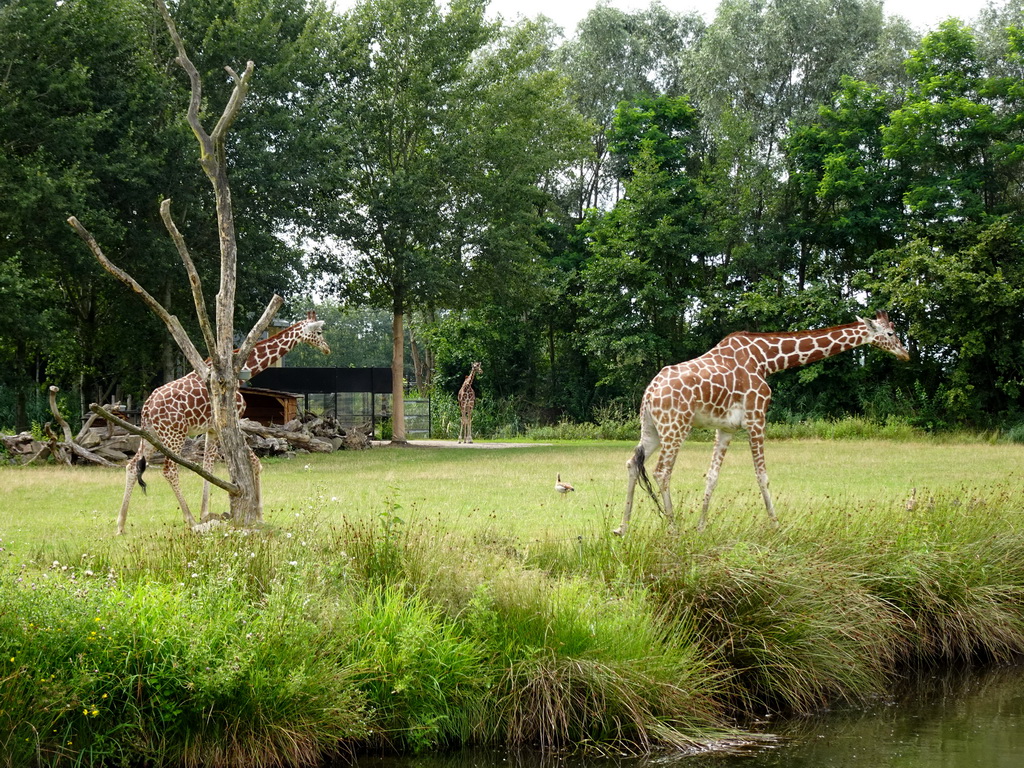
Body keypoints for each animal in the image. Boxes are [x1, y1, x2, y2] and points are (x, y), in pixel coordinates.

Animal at [117, 313, 329, 536]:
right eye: (319, 332)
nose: (326, 348)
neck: (243, 374)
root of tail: (146, 408)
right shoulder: (229, 421)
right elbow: (255, 462)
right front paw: (259, 515)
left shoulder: (212, 428)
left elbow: (207, 466)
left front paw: (205, 512)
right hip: (174, 434)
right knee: (169, 470)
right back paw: (190, 520)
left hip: (150, 435)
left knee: (132, 466)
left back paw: (121, 524)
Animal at [614, 311, 913, 536]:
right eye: (890, 334)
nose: (905, 354)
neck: (767, 360)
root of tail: (649, 393)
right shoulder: (758, 418)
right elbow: (762, 476)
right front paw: (776, 525)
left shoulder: (725, 428)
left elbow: (711, 476)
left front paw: (701, 527)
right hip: (676, 426)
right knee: (662, 471)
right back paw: (673, 529)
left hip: (651, 429)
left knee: (632, 463)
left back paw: (622, 528)